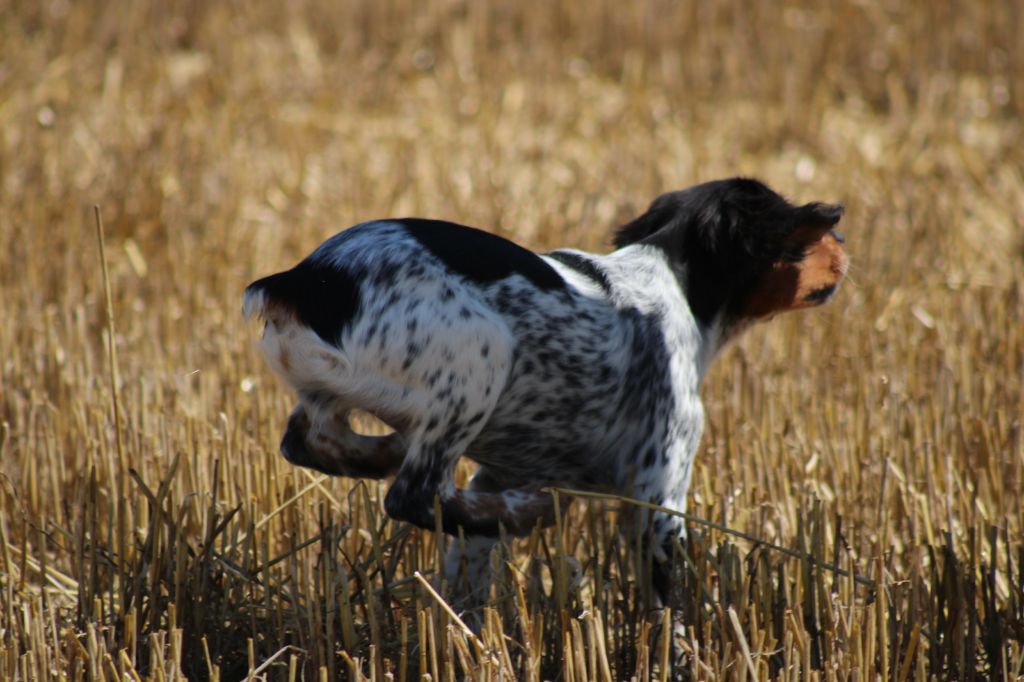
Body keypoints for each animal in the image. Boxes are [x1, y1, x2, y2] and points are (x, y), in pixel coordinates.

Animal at [241, 175, 847, 606]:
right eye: (803, 229)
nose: (840, 231)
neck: (666, 279)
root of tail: (304, 280)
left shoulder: (500, 469)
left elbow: (469, 571)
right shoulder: (659, 493)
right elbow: (669, 614)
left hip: (334, 387)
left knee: (311, 440)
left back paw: (396, 456)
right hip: (481, 354)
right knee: (412, 493)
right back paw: (527, 508)